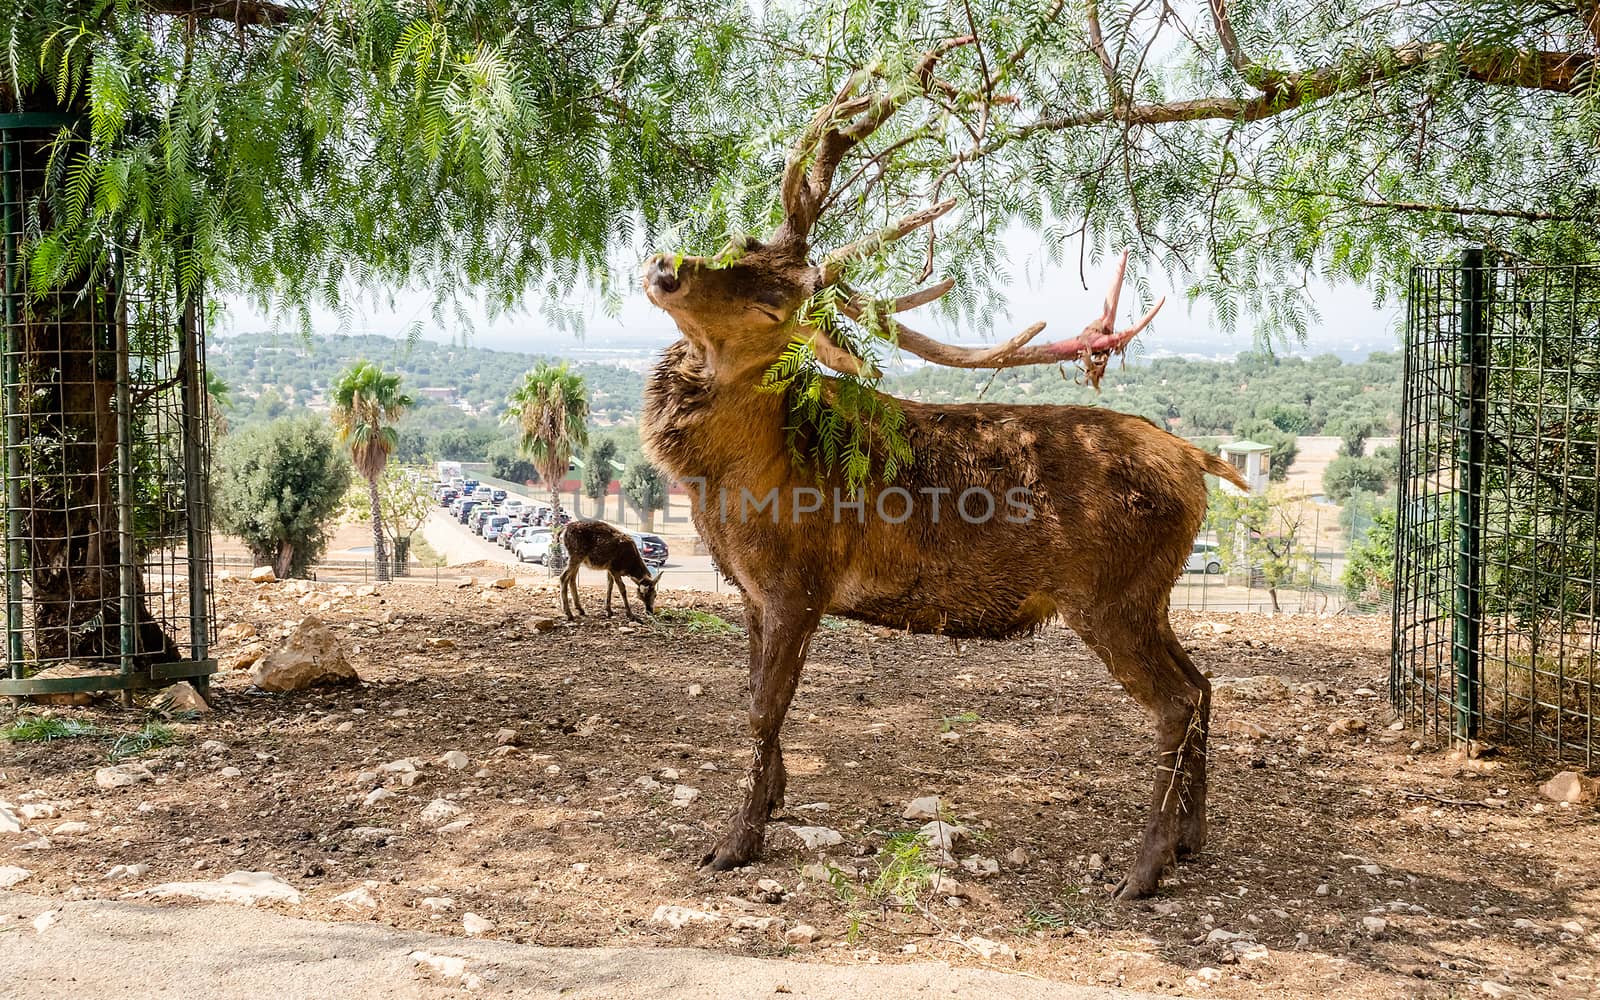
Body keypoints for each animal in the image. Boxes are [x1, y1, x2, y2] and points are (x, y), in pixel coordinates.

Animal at [636, 41, 1248, 896]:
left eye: (771, 306)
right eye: (736, 243)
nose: (666, 265)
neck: (732, 479)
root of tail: (1196, 460)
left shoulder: (800, 580)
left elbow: (763, 709)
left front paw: (736, 840)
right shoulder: (750, 587)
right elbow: (754, 702)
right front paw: (776, 798)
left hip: (1109, 594)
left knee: (1174, 703)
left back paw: (1143, 869)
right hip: (1151, 594)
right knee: (1204, 682)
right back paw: (1192, 838)